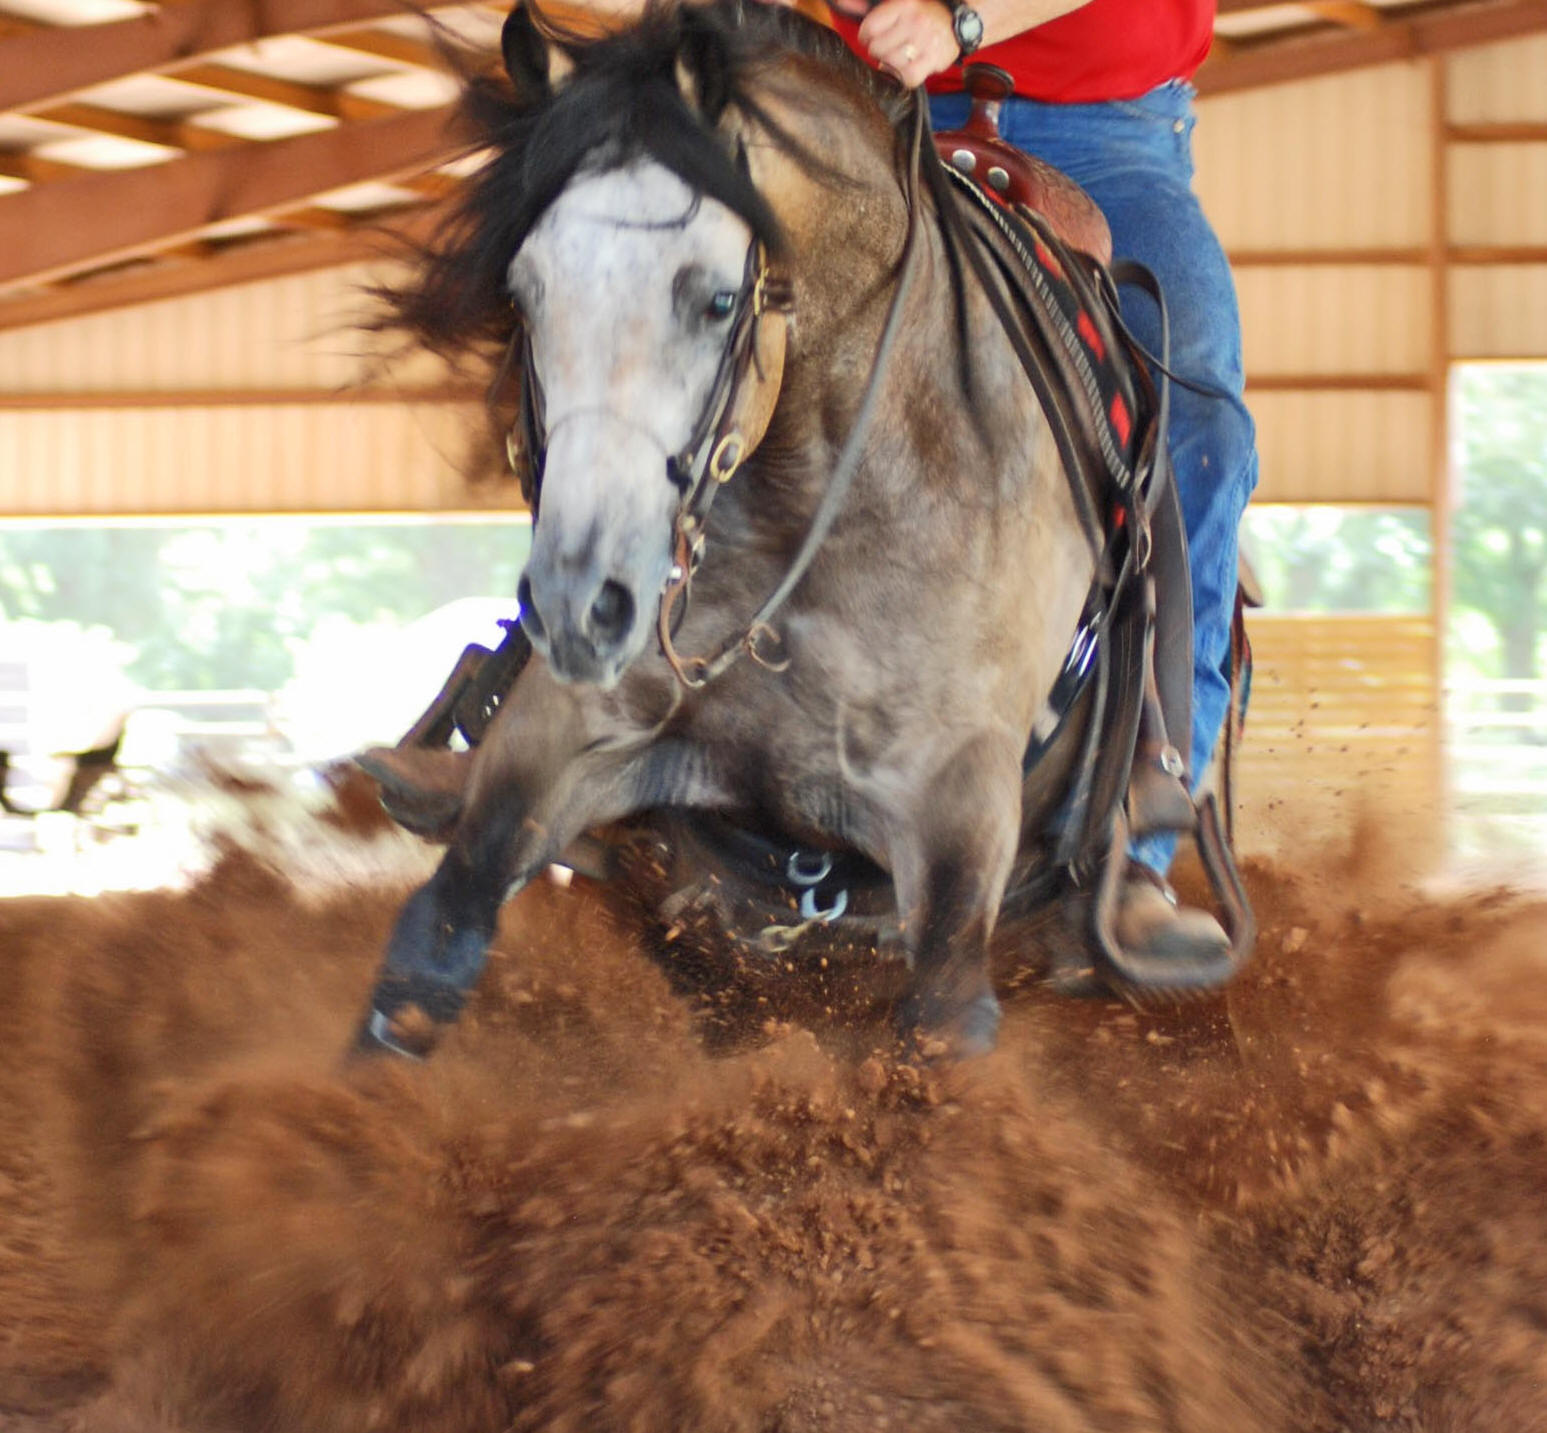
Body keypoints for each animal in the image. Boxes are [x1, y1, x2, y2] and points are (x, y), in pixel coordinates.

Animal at [354, 0, 1251, 1062]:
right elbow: (434, 940)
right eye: (524, 292)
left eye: (716, 299)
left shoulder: (959, 806)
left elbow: (939, 1028)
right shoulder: (568, 731)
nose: (583, 603)